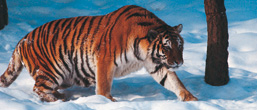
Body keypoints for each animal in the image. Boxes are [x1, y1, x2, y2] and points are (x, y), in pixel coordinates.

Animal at [0, 4, 198, 101]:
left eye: (179, 46)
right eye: (167, 47)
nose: (179, 63)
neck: (145, 52)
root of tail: (23, 38)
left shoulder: (156, 64)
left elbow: (174, 82)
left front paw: (192, 100)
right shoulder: (105, 59)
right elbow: (103, 85)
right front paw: (107, 102)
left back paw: (60, 96)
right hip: (52, 70)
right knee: (38, 88)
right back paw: (58, 101)